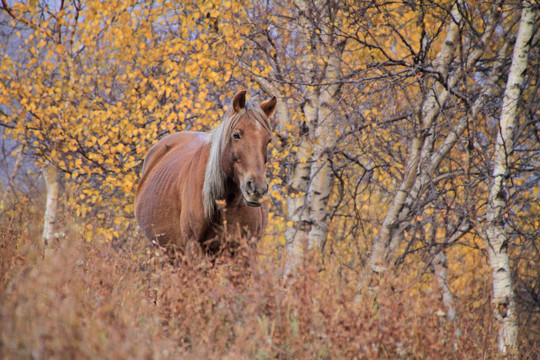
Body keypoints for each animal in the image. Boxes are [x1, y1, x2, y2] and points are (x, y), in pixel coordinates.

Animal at [133, 91, 276, 258]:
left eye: (268, 140)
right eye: (236, 135)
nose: (256, 188)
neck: (227, 202)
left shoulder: (246, 249)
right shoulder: (194, 247)